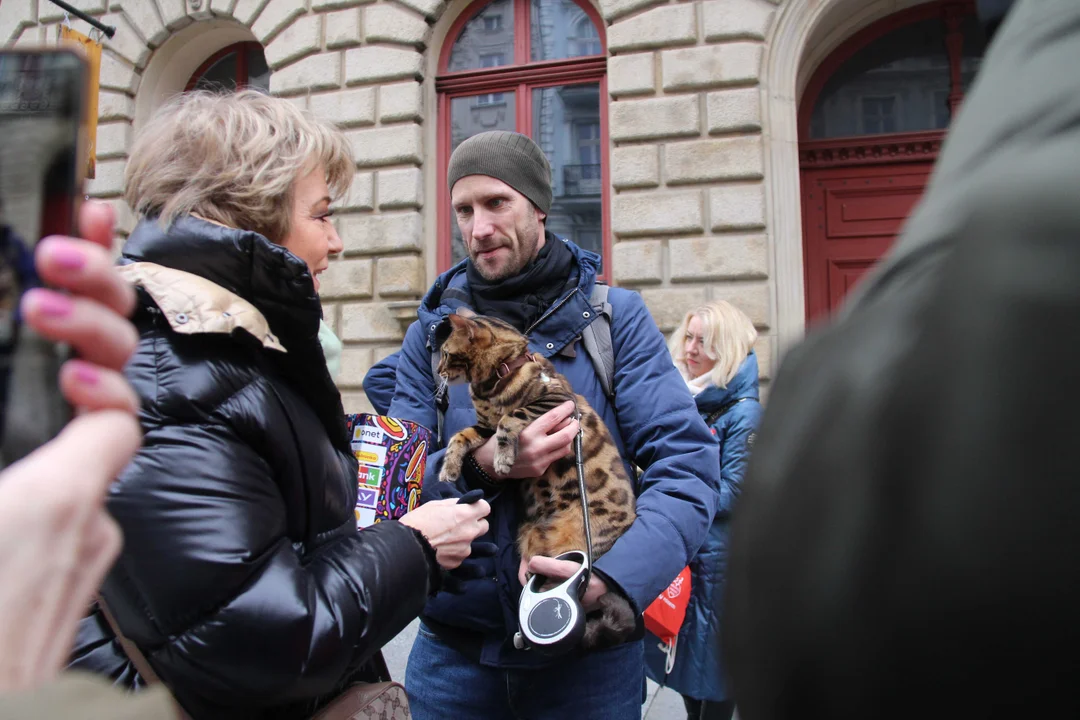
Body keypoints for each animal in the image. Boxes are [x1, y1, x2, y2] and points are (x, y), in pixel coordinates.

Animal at [434, 306, 635, 651]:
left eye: (446, 353)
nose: (438, 369)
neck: (490, 382)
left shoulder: (559, 404)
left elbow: (510, 416)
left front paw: (503, 457)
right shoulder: (482, 427)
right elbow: (459, 437)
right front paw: (450, 469)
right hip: (532, 538)